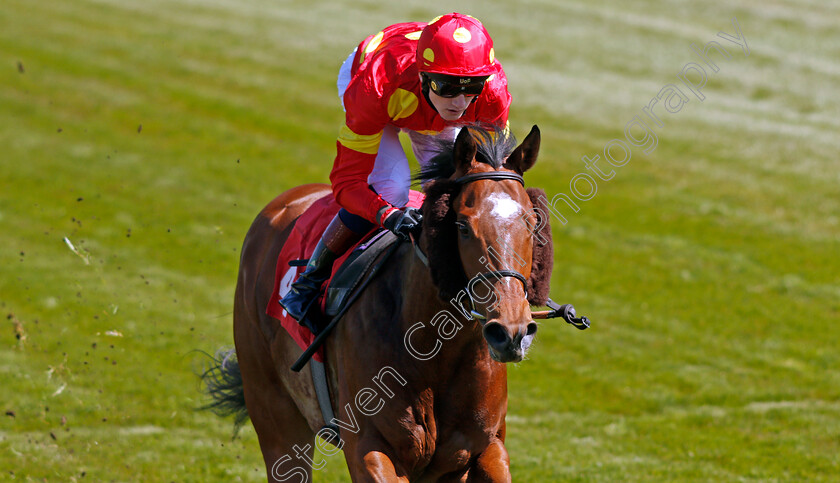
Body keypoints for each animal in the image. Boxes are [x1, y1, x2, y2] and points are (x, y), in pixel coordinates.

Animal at [204, 125, 556, 483]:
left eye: (533, 222)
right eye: (462, 226)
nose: (511, 331)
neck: (433, 348)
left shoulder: (482, 448)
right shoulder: (369, 447)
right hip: (274, 411)